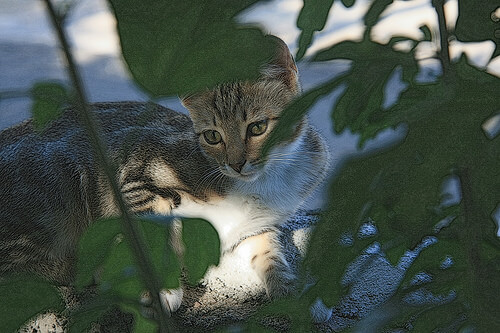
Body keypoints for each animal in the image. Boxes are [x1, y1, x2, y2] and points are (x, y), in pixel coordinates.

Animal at [0, 36, 330, 314]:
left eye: (258, 127)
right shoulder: (135, 168)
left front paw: (296, 295)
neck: (265, 181)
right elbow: (153, 235)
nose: (236, 164)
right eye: (212, 136)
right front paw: (159, 289)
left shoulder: (256, 227)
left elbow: (271, 255)